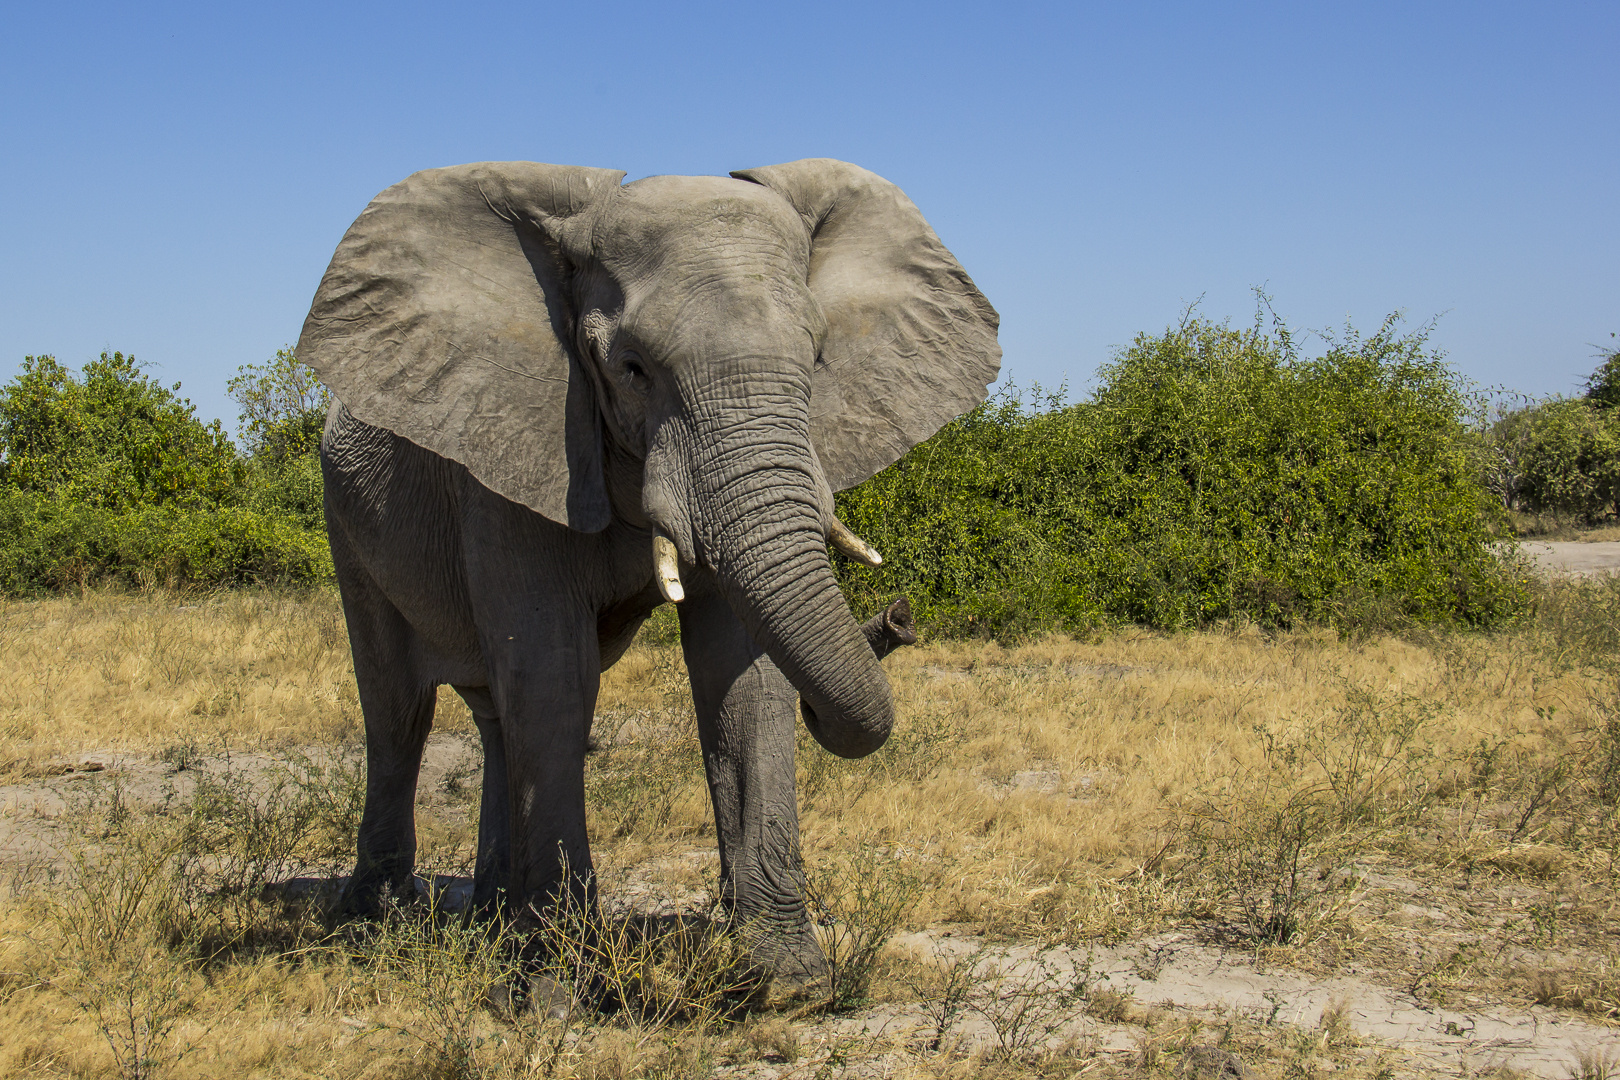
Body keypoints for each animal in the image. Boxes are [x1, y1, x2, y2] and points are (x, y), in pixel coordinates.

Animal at [293, 158, 997, 977]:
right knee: (399, 712)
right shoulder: (515, 458)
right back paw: (370, 924)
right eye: (631, 369)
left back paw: (493, 925)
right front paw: (556, 982)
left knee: (496, 716)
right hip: (345, 519)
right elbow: (556, 680)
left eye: (819, 360)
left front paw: (786, 978)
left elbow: (739, 676)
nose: (898, 618)